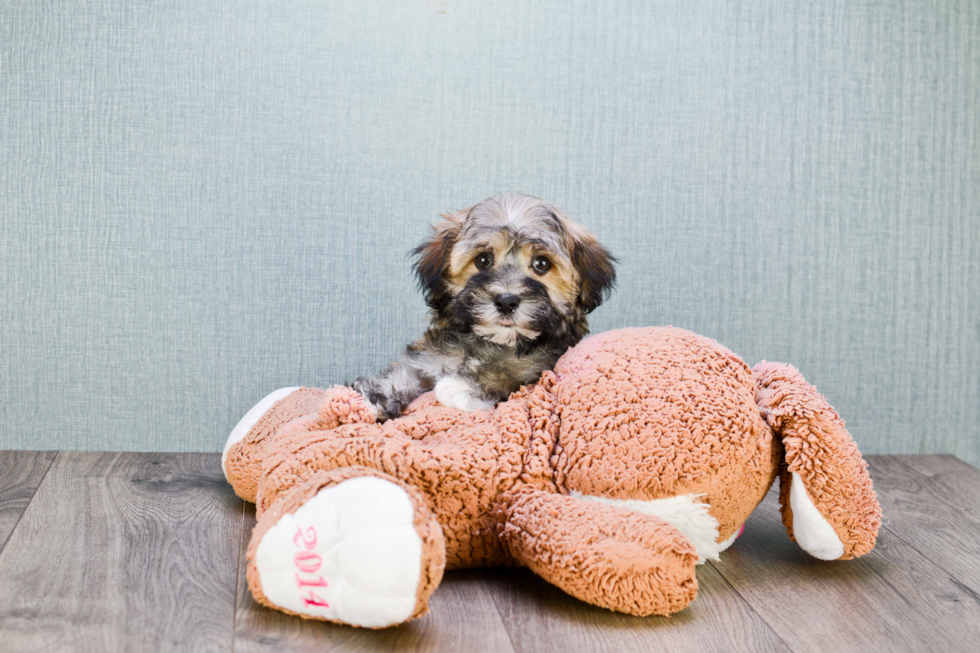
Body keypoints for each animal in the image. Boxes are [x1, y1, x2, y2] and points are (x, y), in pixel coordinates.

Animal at [350, 191, 612, 420]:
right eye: (483, 260)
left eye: (542, 264)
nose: (506, 301)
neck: (492, 342)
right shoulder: (433, 354)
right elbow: (408, 370)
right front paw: (372, 396)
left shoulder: (543, 360)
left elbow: (511, 368)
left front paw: (458, 387)